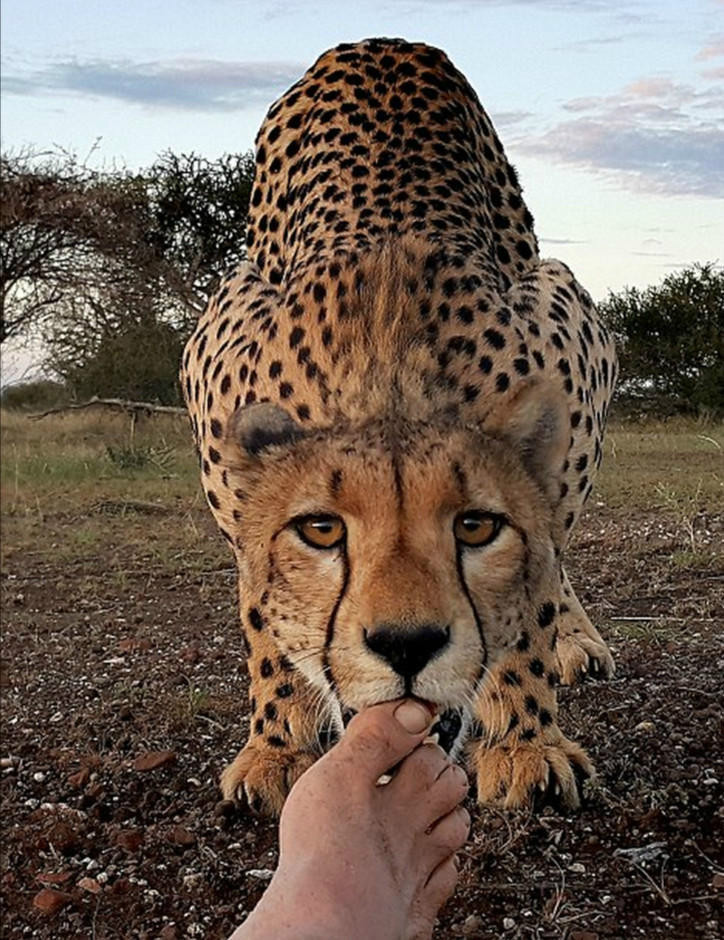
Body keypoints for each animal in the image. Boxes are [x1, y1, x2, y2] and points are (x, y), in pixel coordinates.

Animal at [181, 38, 616, 816]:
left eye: (473, 527)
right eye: (322, 531)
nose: (406, 645)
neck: (390, 381)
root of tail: (384, 41)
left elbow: (535, 583)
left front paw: (525, 740)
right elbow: (263, 607)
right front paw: (277, 744)